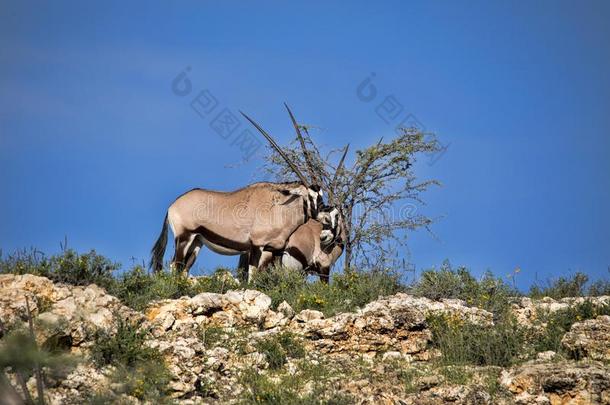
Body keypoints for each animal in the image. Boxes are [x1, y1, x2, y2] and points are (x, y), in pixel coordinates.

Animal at [152, 105, 332, 280]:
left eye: (321, 195)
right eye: (309, 196)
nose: (326, 217)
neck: (279, 207)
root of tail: (172, 206)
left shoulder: (276, 250)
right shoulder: (256, 245)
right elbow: (252, 275)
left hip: (197, 242)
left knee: (183, 269)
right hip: (184, 237)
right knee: (174, 265)